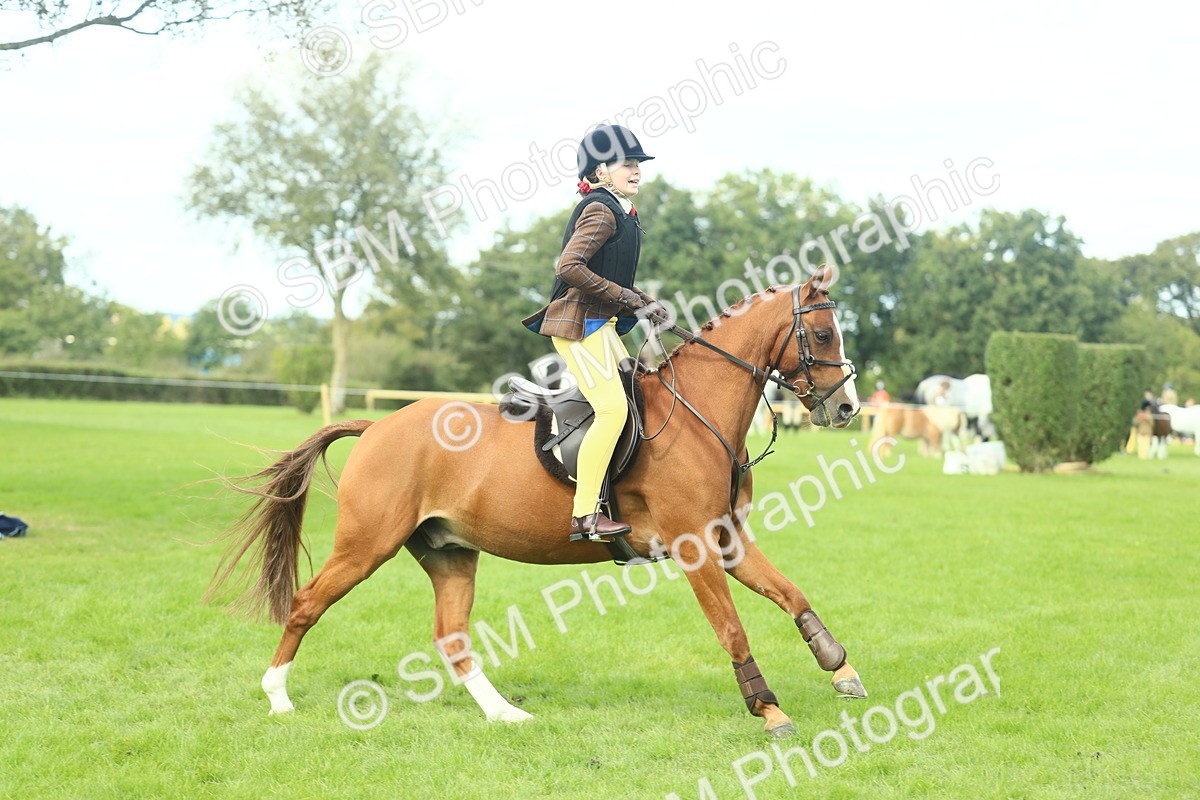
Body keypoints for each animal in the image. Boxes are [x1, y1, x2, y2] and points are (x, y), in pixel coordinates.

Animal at [206, 268, 864, 737]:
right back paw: (278, 697)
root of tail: (377, 427)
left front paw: (841, 668)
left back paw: (505, 715)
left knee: (451, 637)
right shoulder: (695, 546)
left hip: (448, 551)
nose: (847, 408)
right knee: (306, 604)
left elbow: (791, 594)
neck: (696, 413)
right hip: (367, 544)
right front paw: (770, 710)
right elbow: (731, 629)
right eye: (823, 334)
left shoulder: (725, 539)